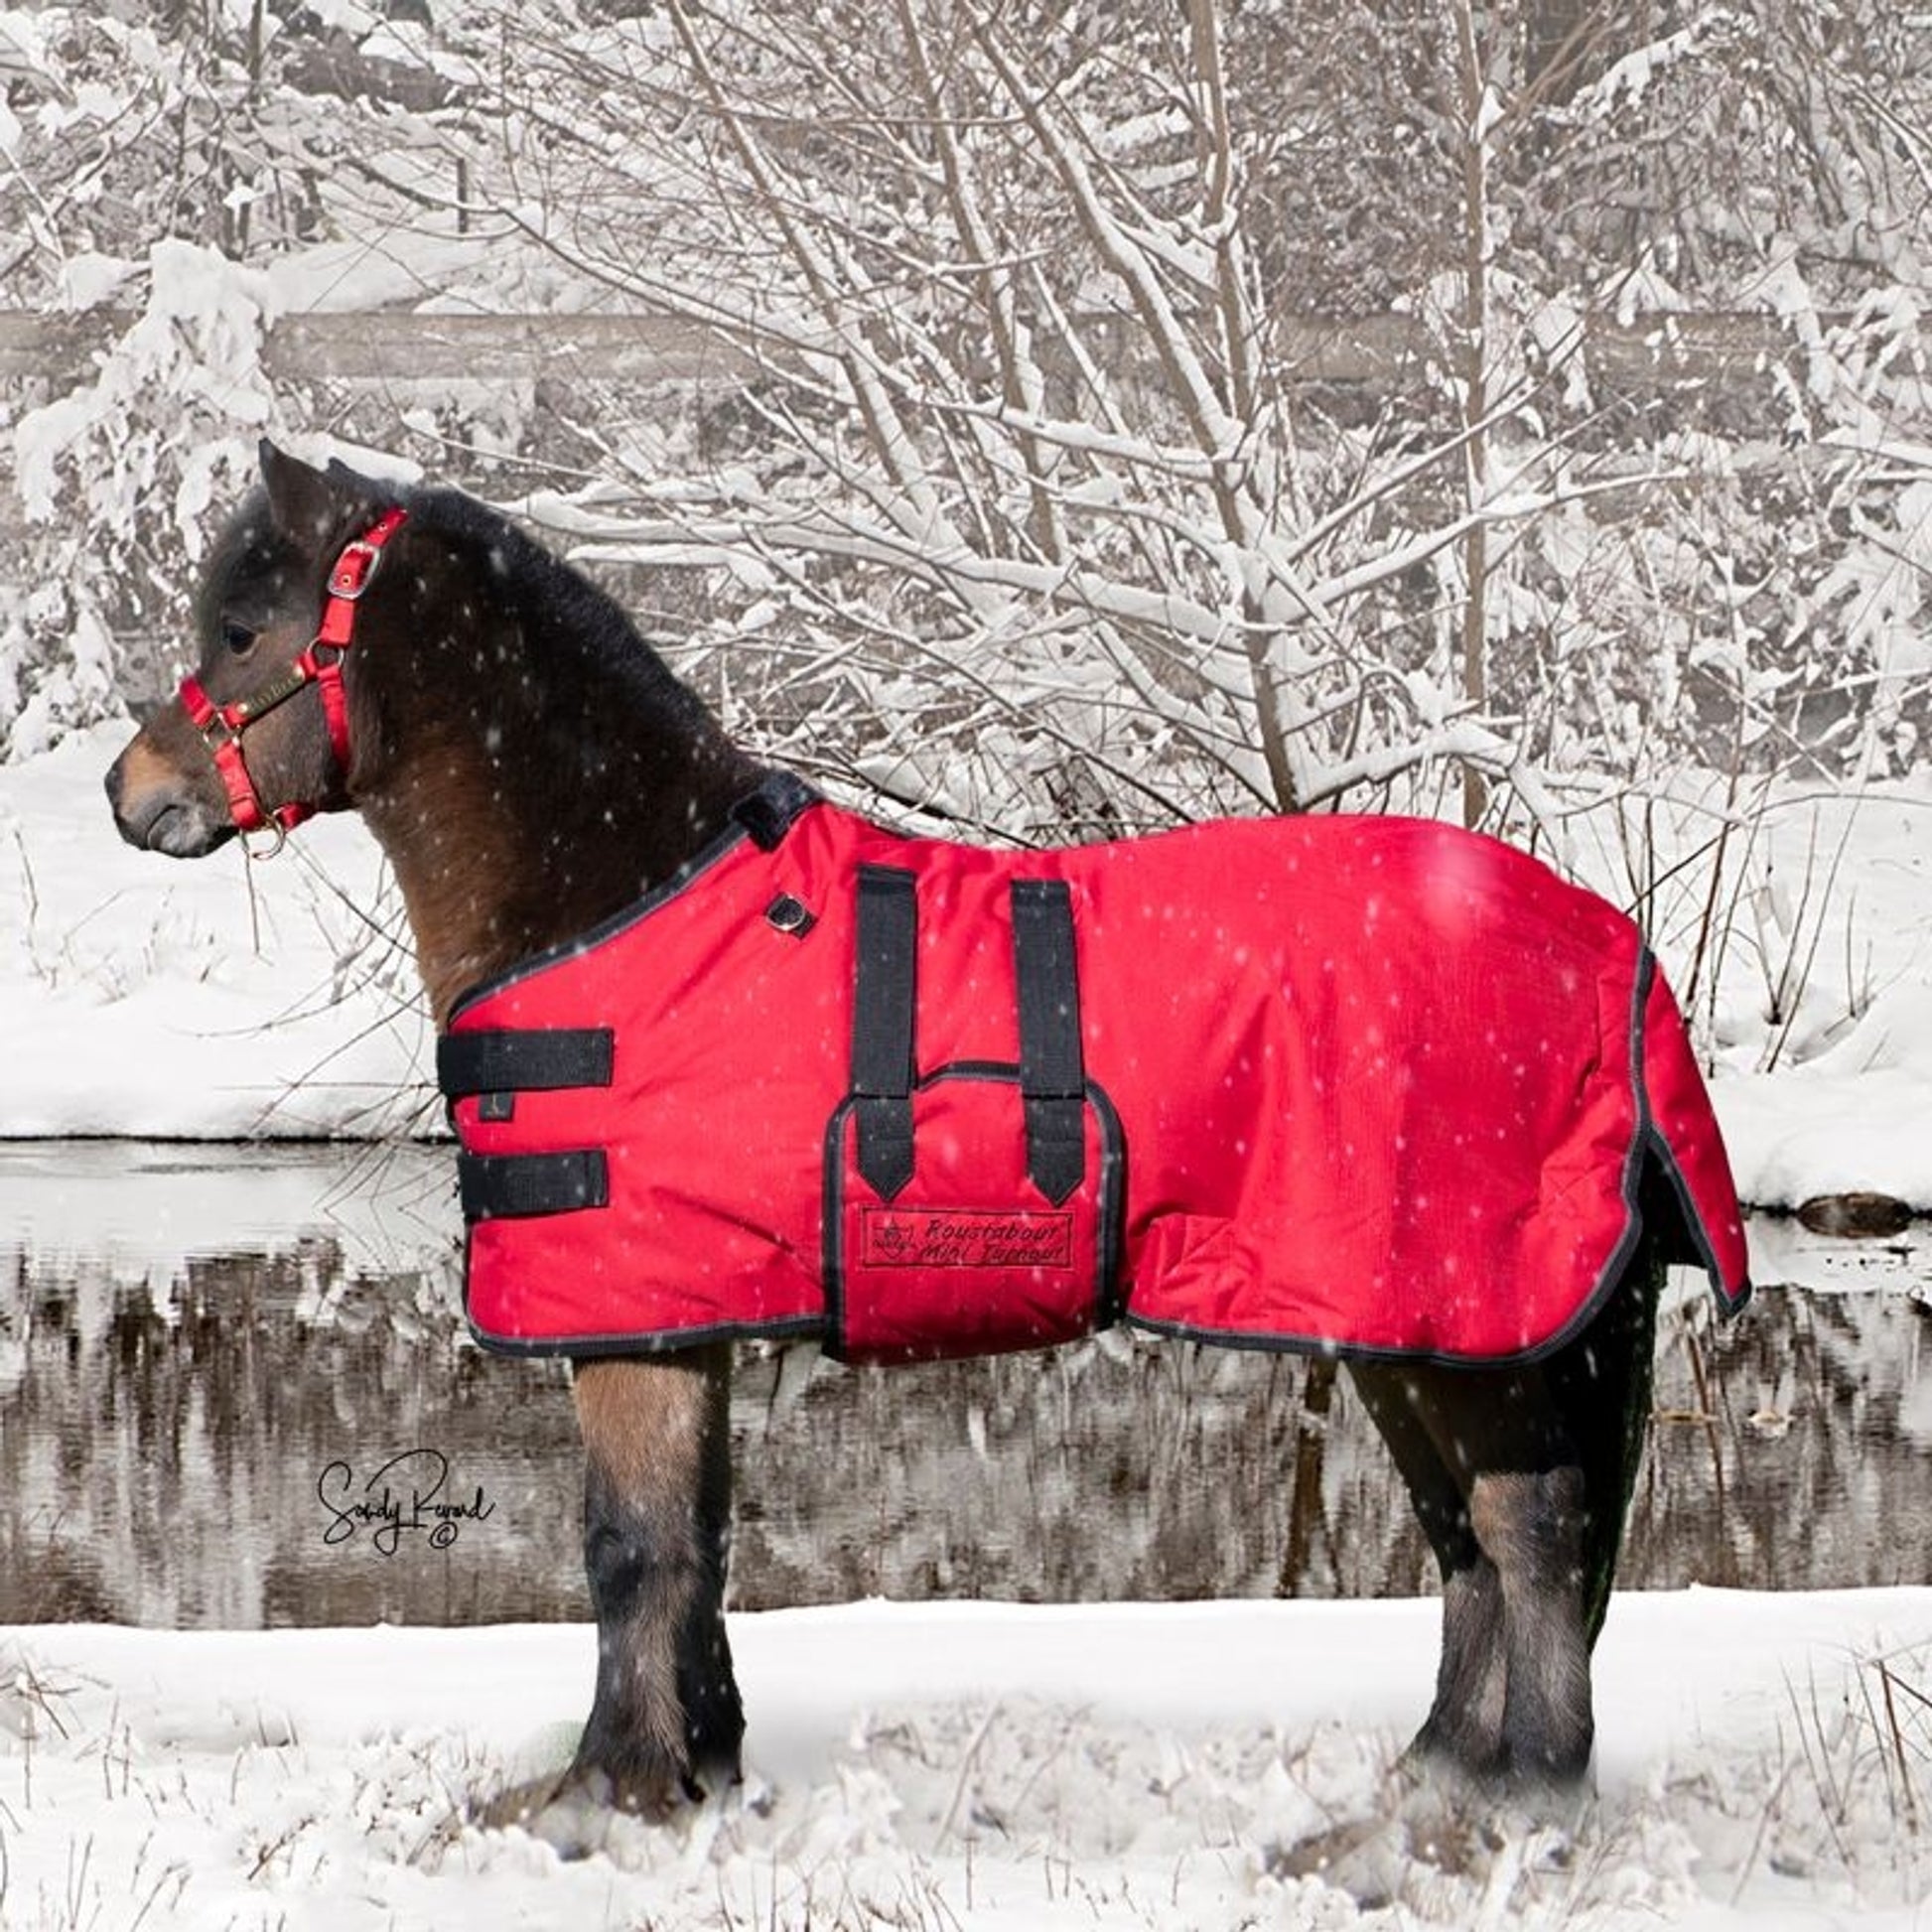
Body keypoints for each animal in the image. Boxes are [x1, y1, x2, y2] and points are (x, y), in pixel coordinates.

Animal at [105, 443, 1749, 1822]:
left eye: (243, 628)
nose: (133, 792)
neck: (623, 893)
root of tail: (1604, 943)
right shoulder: (690, 1320)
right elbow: (696, 1546)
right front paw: (700, 1772)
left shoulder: (629, 1326)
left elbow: (627, 1550)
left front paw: (598, 1797)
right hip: (1406, 1333)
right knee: (1469, 1540)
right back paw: (1430, 1785)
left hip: (1468, 1321)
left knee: (1527, 1531)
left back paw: (1503, 1811)